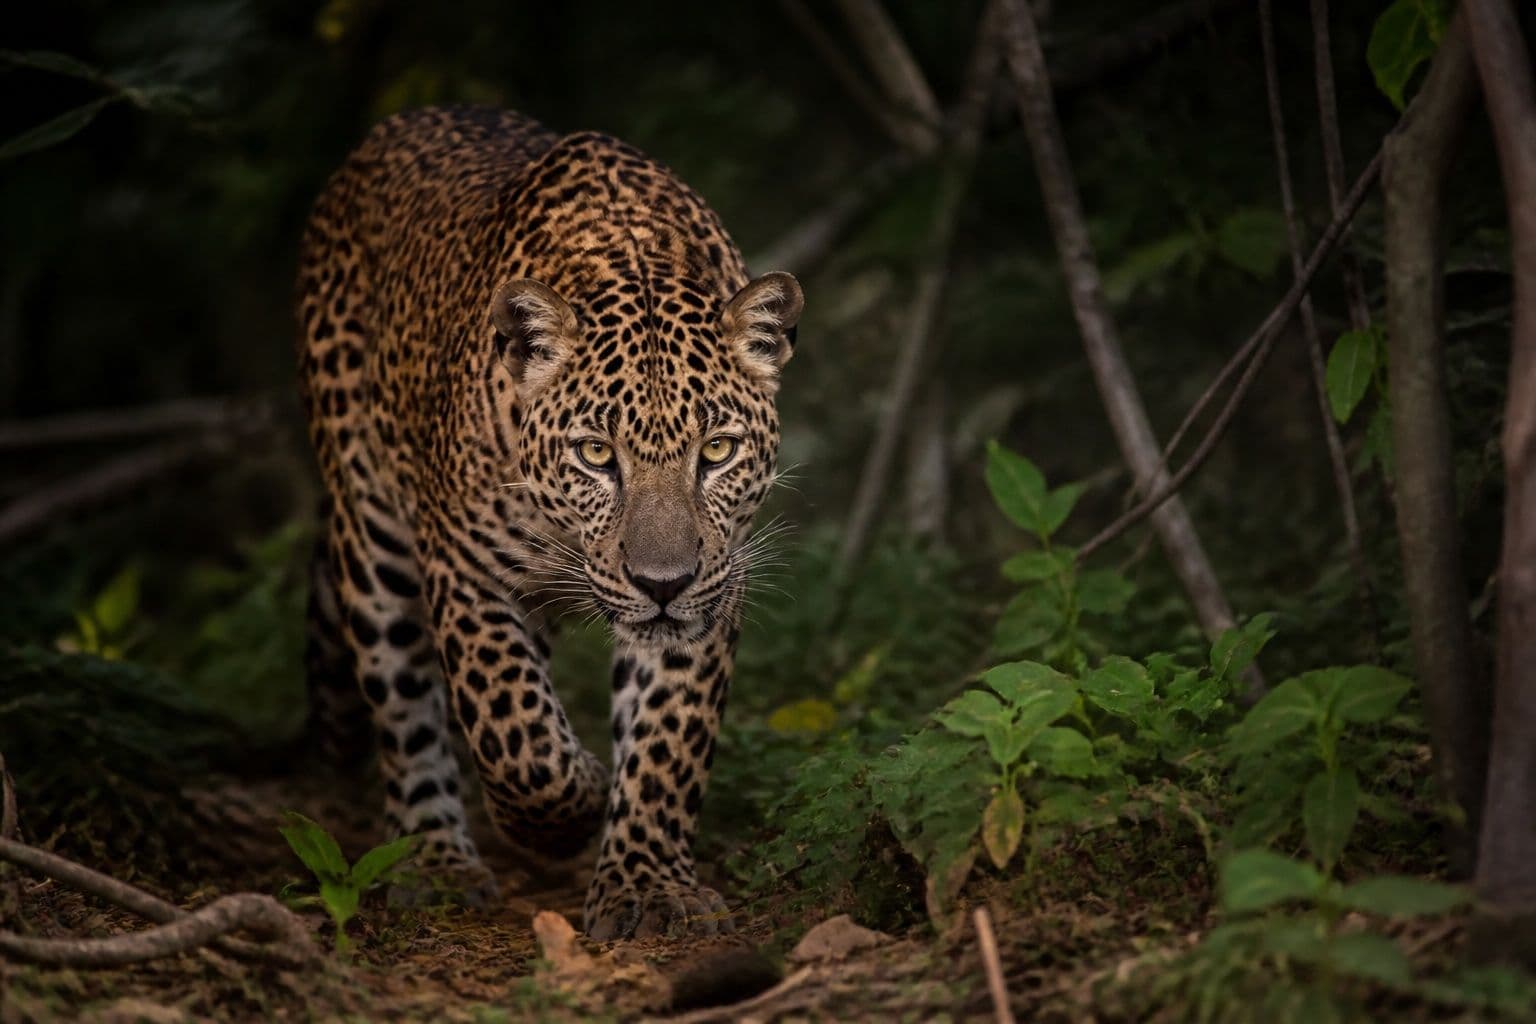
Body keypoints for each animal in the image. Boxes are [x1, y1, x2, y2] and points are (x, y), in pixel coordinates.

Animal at [295, 105, 802, 941]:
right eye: (596, 454)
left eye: (717, 451)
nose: (662, 583)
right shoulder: (465, 571)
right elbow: (511, 726)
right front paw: (567, 814)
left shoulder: (709, 592)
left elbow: (667, 742)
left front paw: (646, 883)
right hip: (369, 527)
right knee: (402, 704)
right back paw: (435, 862)